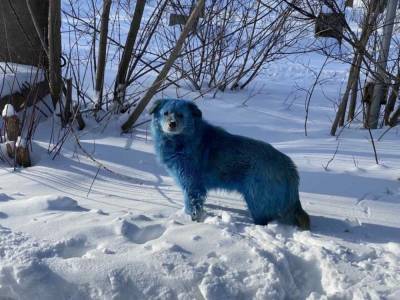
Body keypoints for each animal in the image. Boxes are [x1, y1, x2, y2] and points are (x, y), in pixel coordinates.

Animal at [150, 99, 310, 230]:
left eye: (181, 115)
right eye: (166, 113)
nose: (172, 124)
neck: (183, 140)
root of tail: (288, 166)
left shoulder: (192, 185)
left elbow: (193, 205)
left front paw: (190, 221)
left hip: (256, 199)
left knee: (263, 220)